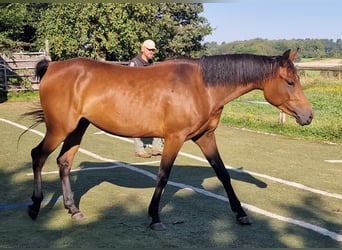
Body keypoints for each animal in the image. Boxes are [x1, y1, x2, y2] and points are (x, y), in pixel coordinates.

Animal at [26, 48, 312, 230]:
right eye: (290, 82)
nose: (308, 115)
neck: (202, 86)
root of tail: (52, 66)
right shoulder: (174, 138)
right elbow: (163, 175)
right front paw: (154, 217)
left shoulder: (205, 138)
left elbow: (223, 174)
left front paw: (241, 214)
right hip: (59, 129)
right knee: (38, 156)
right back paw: (35, 207)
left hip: (77, 128)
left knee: (64, 162)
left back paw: (73, 209)